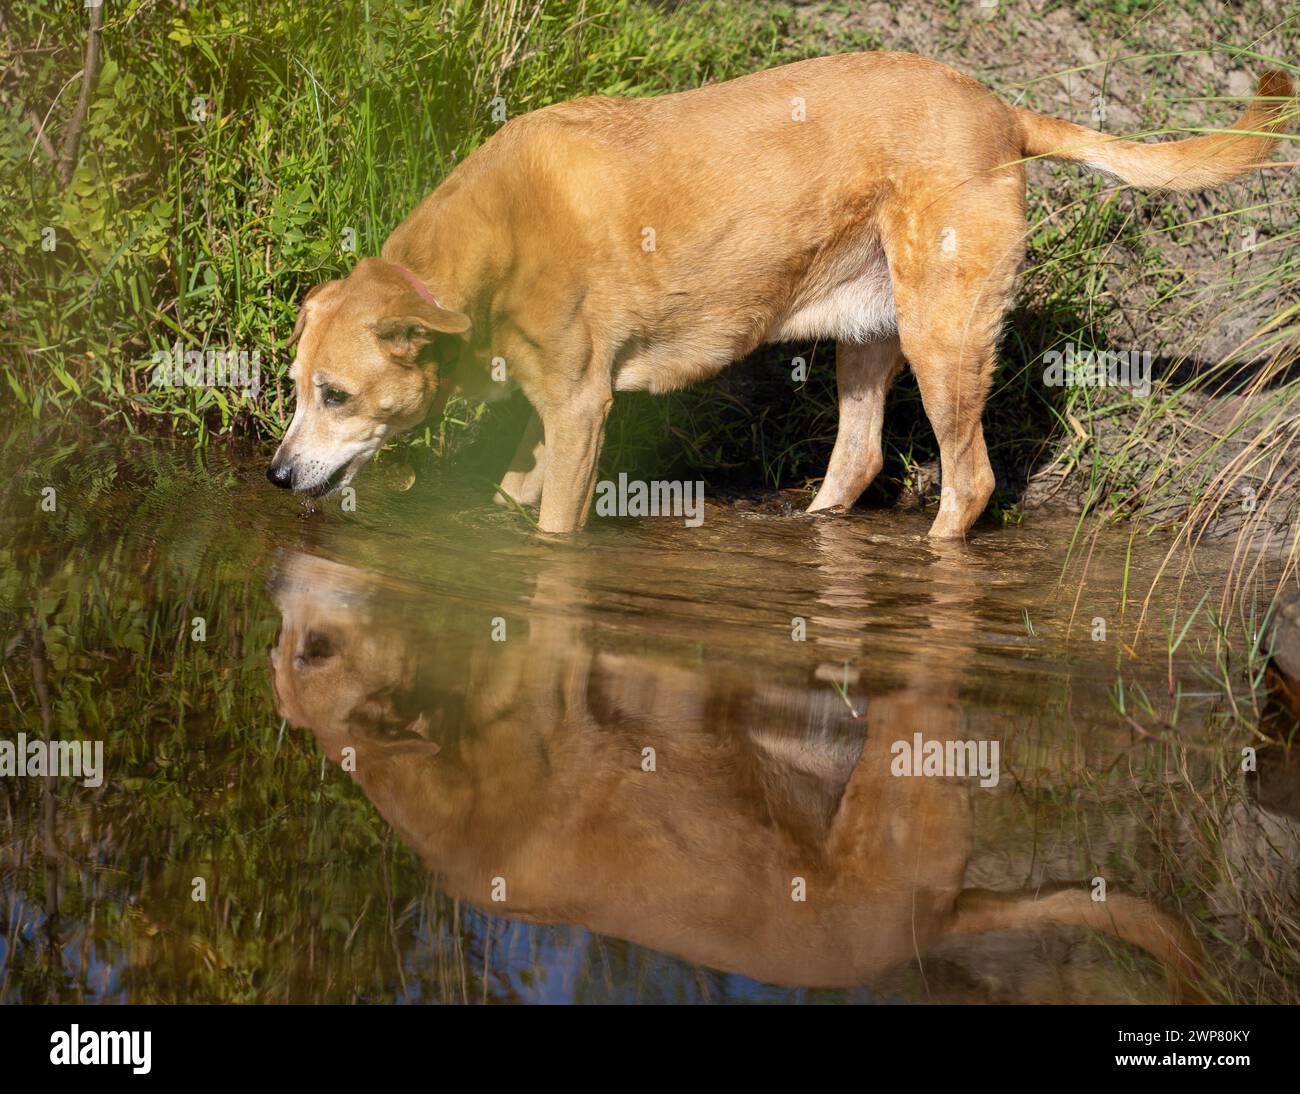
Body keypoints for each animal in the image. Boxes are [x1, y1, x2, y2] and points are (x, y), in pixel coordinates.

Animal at [266, 51, 1289, 537]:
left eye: (336, 395)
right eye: (293, 388)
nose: (274, 476)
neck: (494, 246)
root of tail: (1000, 111)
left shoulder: (581, 407)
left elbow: (553, 531)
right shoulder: (549, 413)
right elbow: (513, 494)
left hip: (945, 337)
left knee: (969, 482)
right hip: (869, 335)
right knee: (860, 459)